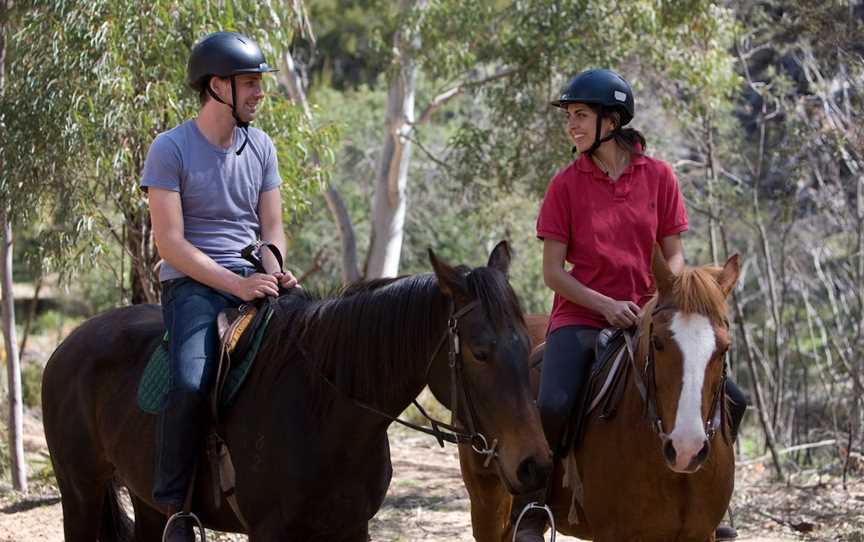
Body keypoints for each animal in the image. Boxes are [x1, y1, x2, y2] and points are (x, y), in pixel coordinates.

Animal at [44, 244, 552, 542]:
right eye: (480, 353)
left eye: (526, 346)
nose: (535, 464)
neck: (324, 411)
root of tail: (68, 346)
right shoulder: (270, 533)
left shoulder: (351, 528)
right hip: (80, 492)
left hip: (147, 502)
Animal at [462, 251, 740, 542]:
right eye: (658, 342)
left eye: (724, 348)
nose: (687, 449)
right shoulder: (612, 532)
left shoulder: (700, 533)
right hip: (487, 500)